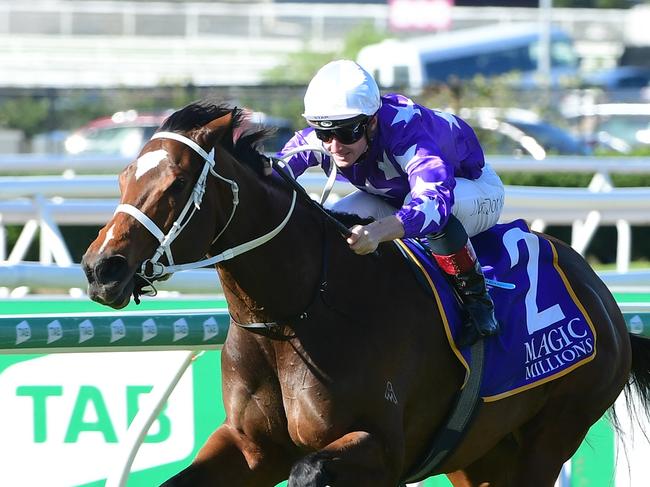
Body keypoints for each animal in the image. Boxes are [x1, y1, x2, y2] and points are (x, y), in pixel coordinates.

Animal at [81, 101, 648, 486]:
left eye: (176, 183)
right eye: (123, 177)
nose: (100, 269)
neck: (293, 316)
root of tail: (602, 296)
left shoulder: (382, 449)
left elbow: (309, 470)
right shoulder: (249, 448)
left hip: (552, 433)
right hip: (480, 452)